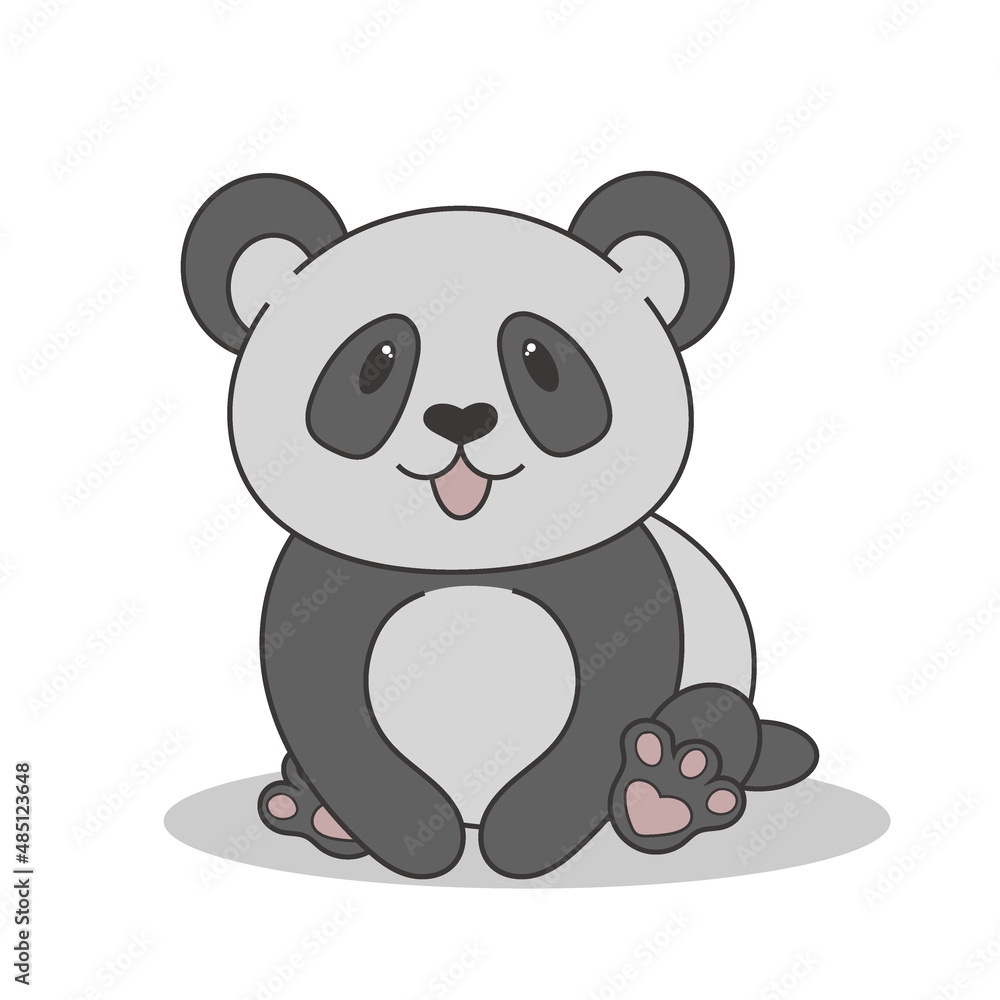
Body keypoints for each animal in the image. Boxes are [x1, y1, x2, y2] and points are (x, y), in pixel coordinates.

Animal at [181, 171, 818, 880]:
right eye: (377, 361)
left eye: (541, 362)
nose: (460, 417)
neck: (470, 563)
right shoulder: (324, 585)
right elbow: (328, 714)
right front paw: (420, 840)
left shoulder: (617, 578)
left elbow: (611, 697)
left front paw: (522, 840)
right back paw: (314, 810)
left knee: (720, 710)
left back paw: (667, 791)